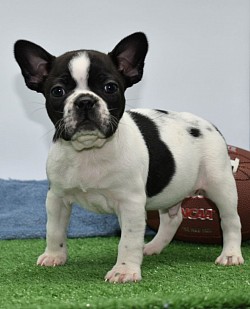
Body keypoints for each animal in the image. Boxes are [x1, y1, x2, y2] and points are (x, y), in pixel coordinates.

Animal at [14, 31, 244, 282]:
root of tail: (208, 124)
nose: (85, 101)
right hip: (173, 189)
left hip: (220, 184)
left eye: (110, 87)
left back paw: (231, 254)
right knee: (172, 218)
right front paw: (54, 256)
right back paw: (153, 247)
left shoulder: (131, 204)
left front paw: (124, 270)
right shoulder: (56, 198)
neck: (89, 151)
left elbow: (128, 240)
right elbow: (54, 230)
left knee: (231, 219)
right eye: (57, 91)